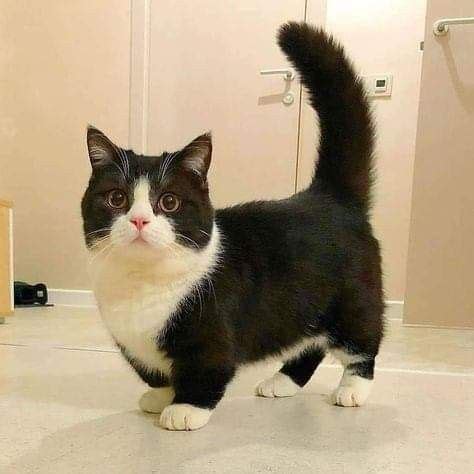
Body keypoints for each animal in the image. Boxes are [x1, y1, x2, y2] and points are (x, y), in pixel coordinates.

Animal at [82, 21, 386, 430]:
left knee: (361, 341)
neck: (142, 283)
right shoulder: (133, 343)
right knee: (308, 344)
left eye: (169, 202)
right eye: (116, 199)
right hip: (300, 306)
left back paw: (352, 389)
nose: (140, 219)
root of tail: (329, 195)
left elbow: (205, 370)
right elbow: (156, 373)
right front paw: (160, 396)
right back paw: (281, 382)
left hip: (350, 300)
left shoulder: (212, 334)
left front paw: (184, 408)